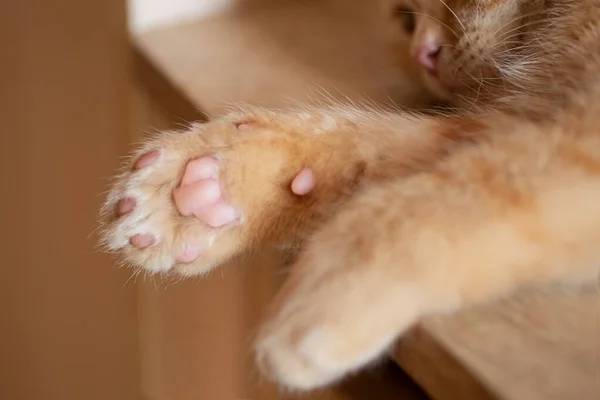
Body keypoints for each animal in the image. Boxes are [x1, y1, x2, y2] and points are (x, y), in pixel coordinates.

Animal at [98, 0, 600, 392]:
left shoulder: (574, 135)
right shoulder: (507, 121)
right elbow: (368, 140)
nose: (422, 54)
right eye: (406, 19)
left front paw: (327, 294)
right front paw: (209, 185)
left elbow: (461, 188)